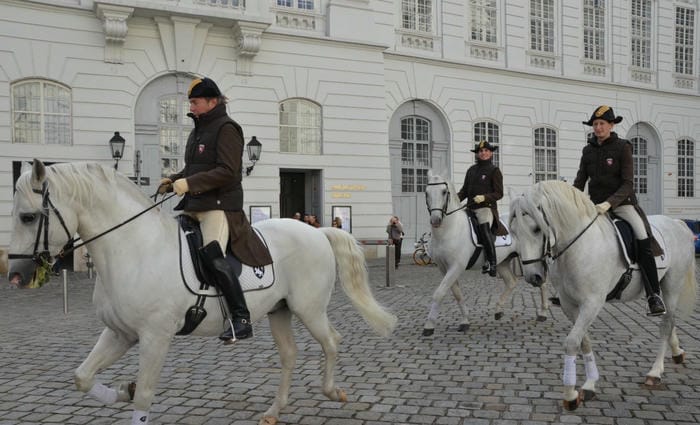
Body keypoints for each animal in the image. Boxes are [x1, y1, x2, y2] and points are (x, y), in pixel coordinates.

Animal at [8, 160, 396, 424]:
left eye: (28, 217)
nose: (15, 276)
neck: (134, 247)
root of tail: (316, 231)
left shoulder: (155, 337)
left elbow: (144, 396)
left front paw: (132, 392)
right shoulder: (120, 333)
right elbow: (82, 377)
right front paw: (121, 390)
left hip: (309, 308)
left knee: (331, 341)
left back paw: (331, 391)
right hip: (280, 310)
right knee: (289, 355)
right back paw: (274, 410)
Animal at [422, 171, 552, 336]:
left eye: (444, 192)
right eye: (426, 192)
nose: (436, 220)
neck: (449, 230)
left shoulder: (456, 267)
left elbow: (439, 293)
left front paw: (429, 325)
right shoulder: (444, 268)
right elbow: (457, 294)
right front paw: (465, 321)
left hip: (532, 259)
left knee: (542, 281)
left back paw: (542, 313)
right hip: (503, 262)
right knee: (511, 282)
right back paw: (498, 310)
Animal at [512, 181, 696, 410]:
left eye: (537, 229)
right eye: (514, 232)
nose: (533, 276)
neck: (578, 246)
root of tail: (678, 223)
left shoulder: (592, 303)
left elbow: (572, 342)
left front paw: (570, 395)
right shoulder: (569, 304)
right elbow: (584, 341)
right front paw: (589, 384)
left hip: (672, 286)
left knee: (666, 323)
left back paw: (655, 372)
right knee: (670, 323)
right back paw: (677, 352)